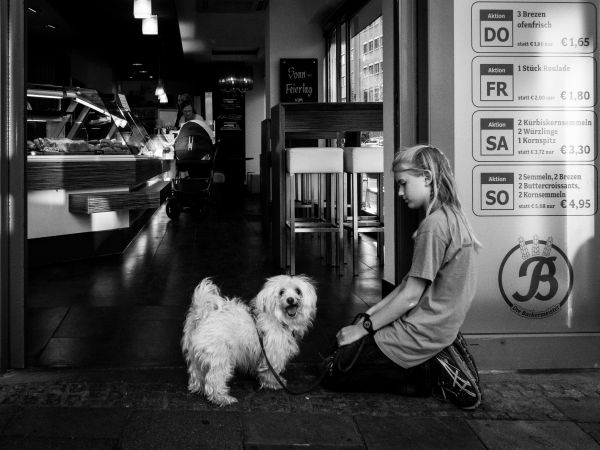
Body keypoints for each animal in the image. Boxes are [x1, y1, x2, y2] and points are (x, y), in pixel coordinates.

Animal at [180, 272, 316, 406]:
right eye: (281, 292)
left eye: (298, 291)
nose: (290, 299)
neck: (279, 318)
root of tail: (201, 316)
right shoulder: (272, 355)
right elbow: (270, 372)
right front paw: (274, 383)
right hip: (220, 358)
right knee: (214, 380)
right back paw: (222, 398)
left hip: (197, 356)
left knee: (196, 373)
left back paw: (198, 388)